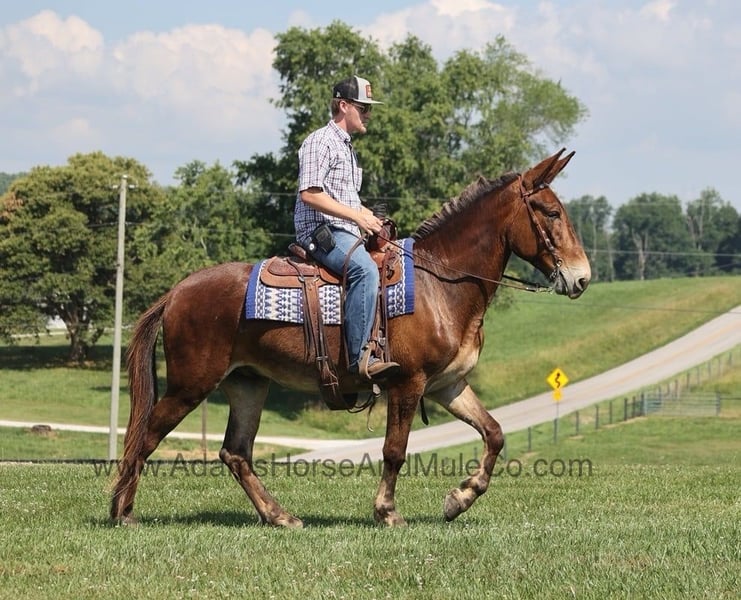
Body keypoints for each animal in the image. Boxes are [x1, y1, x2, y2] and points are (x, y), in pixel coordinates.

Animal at [111, 148, 591, 527]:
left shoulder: (448, 385)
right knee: (146, 436)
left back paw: (279, 516)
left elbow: (494, 433)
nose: (582, 277)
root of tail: (176, 292)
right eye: (550, 213)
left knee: (236, 453)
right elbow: (395, 450)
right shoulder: (408, 383)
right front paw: (387, 511)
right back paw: (123, 512)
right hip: (191, 384)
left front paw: (459, 498)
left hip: (247, 384)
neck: (441, 284)